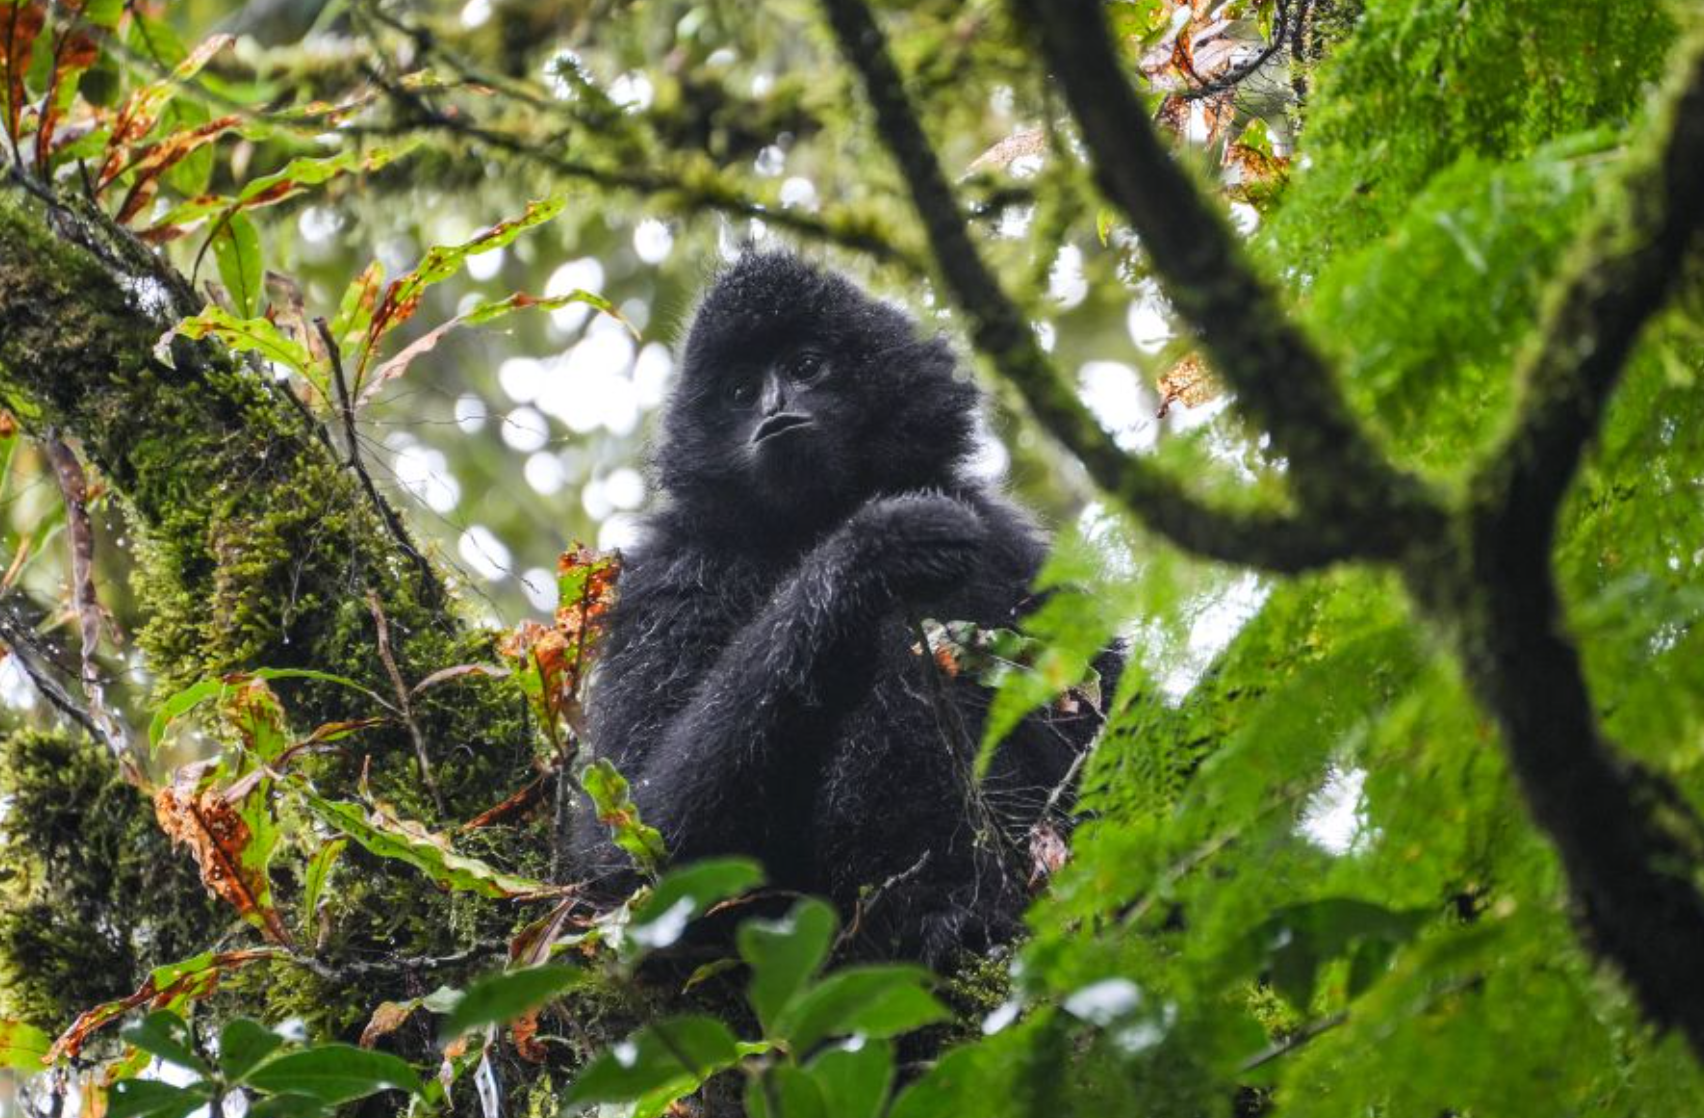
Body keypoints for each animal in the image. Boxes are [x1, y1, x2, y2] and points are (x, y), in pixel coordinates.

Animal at [574, 251, 1119, 963]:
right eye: (740, 392)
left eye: (805, 365)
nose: (774, 407)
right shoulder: (672, 579)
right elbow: (620, 863)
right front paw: (873, 547)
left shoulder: (1008, 545)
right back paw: (951, 916)